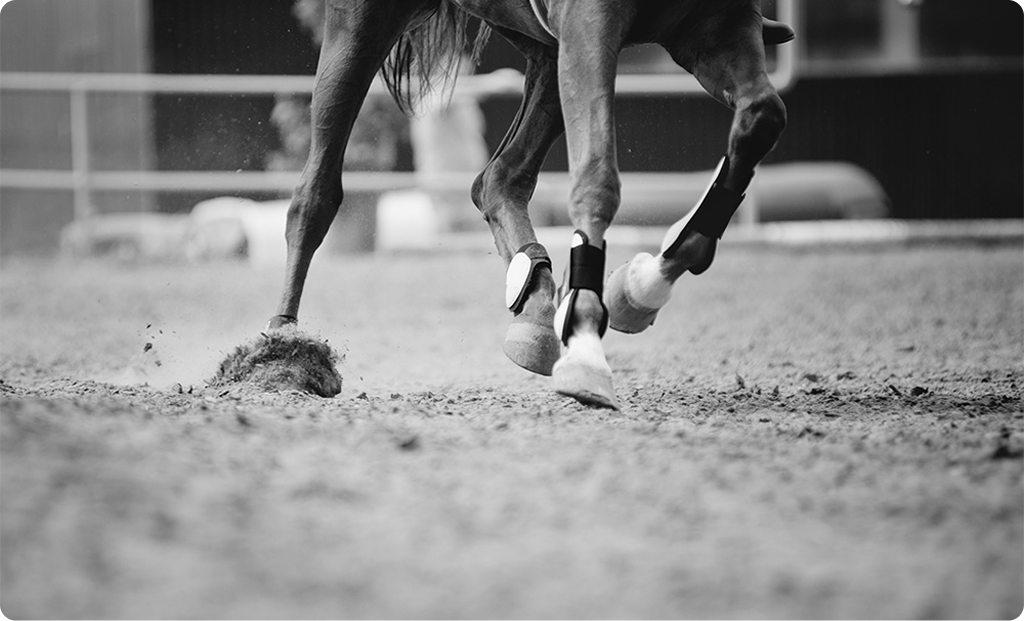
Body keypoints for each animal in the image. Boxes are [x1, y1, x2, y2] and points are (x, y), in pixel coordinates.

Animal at [266, 0, 793, 409]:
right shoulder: (592, 20)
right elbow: (596, 178)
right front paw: (586, 347)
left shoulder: (718, 24)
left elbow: (762, 117)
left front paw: (642, 285)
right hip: (362, 26)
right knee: (315, 194)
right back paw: (279, 350)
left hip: (544, 45)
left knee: (498, 181)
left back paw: (537, 310)